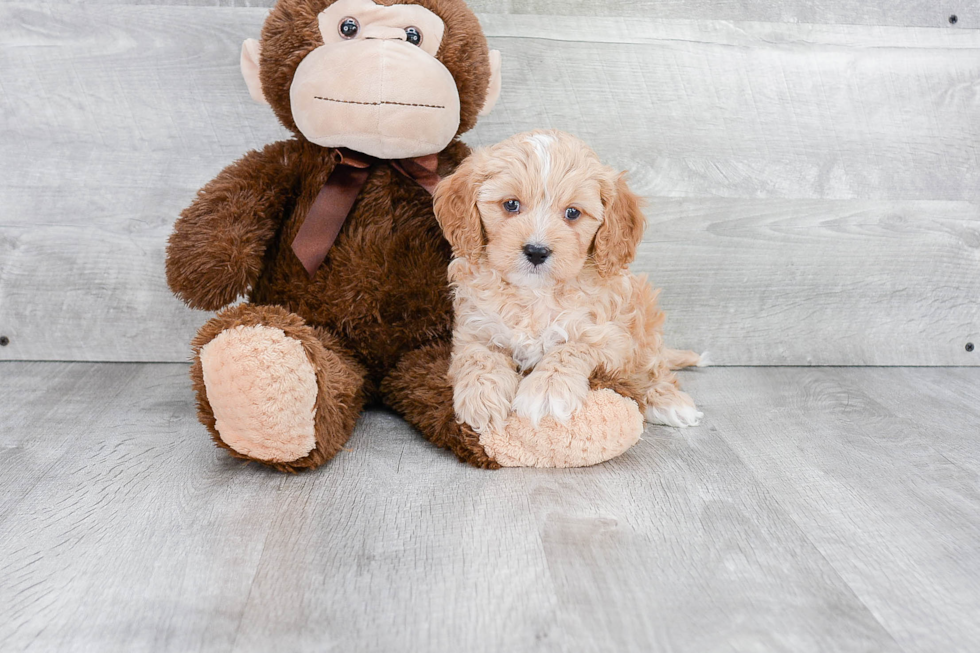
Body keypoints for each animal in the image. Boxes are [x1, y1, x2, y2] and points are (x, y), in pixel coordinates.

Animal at [432, 130, 700, 436]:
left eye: (573, 213)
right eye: (511, 204)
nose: (536, 251)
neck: (535, 293)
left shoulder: (611, 339)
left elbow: (570, 348)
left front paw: (547, 390)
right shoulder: (473, 330)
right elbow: (478, 356)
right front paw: (482, 398)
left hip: (645, 317)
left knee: (653, 368)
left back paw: (669, 401)